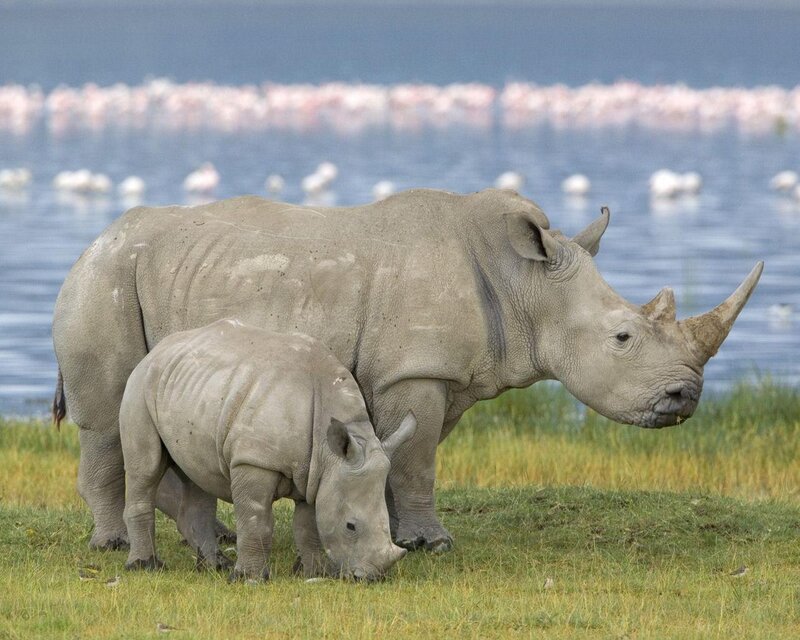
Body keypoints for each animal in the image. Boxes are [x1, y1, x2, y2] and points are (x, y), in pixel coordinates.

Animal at [52, 188, 763, 553]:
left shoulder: (435, 375)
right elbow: (418, 460)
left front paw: (394, 532)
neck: (524, 284)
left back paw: (219, 539)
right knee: (107, 421)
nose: (686, 396)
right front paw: (433, 544)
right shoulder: (414, 372)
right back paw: (111, 547)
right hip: (103, 281)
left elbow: (406, 455)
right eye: (623, 337)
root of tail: (91, 241)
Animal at [120, 319, 414, 581]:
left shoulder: (316, 473)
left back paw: (215, 566)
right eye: (350, 526)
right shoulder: (254, 461)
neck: (329, 451)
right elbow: (256, 520)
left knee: (198, 474)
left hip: (191, 388)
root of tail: (158, 350)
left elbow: (308, 525)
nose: (372, 578)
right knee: (145, 470)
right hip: (140, 386)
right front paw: (249, 578)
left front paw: (315, 573)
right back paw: (145, 566)